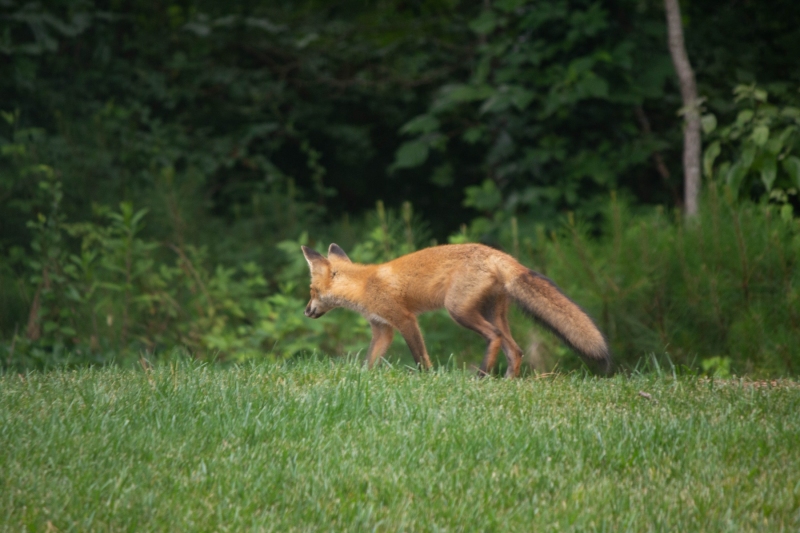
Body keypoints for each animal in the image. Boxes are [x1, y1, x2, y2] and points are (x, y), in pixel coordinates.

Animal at [301, 243, 611, 377]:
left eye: (312, 291)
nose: (306, 311)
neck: (365, 284)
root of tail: (500, 255)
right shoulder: (383, 329)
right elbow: (370, 360)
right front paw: (363, 379)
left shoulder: (405, 319)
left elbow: (420, 357)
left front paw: (426, 379)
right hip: (492, 312)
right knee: (516, 350)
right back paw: (505, 382)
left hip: (459, 311)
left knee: (495, 337)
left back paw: (481, 376)